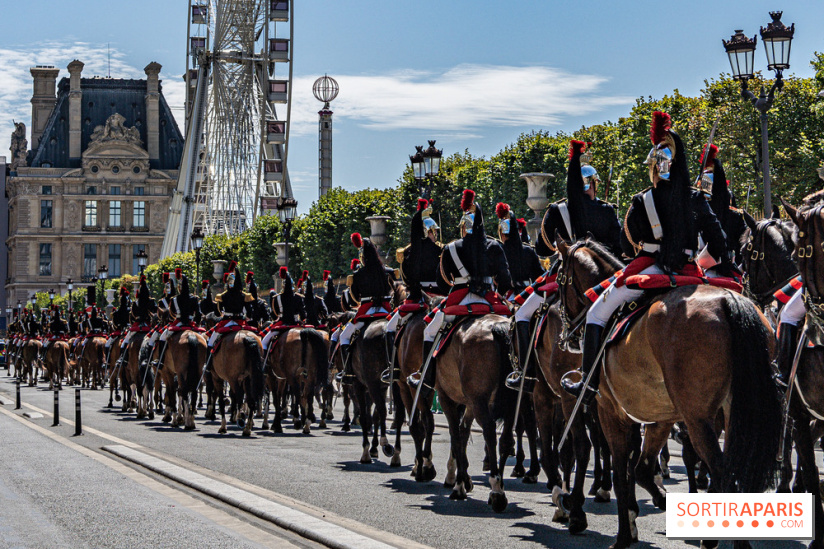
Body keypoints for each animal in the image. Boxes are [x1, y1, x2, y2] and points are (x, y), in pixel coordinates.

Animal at [556, 239, 784, 548]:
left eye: (559, 279)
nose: (566, 334)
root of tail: (728, 301)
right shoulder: (660, 417)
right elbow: (640, 467)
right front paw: (648, 508)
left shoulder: (610, 412)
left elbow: (621, 469)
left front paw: (624, 535)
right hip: (732, 415)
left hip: (699, 420)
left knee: (723, 473)